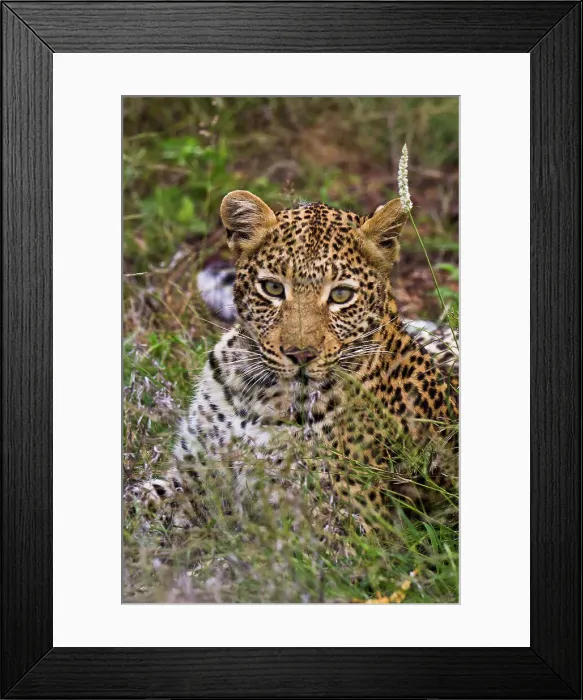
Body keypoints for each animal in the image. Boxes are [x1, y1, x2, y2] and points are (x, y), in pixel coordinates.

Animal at [134, 190, 459, 532]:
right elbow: (135, 501)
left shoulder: (343, 523)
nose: (300, 354)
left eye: (341, 295)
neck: (256, 393)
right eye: (273, 288)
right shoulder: (189, 477)